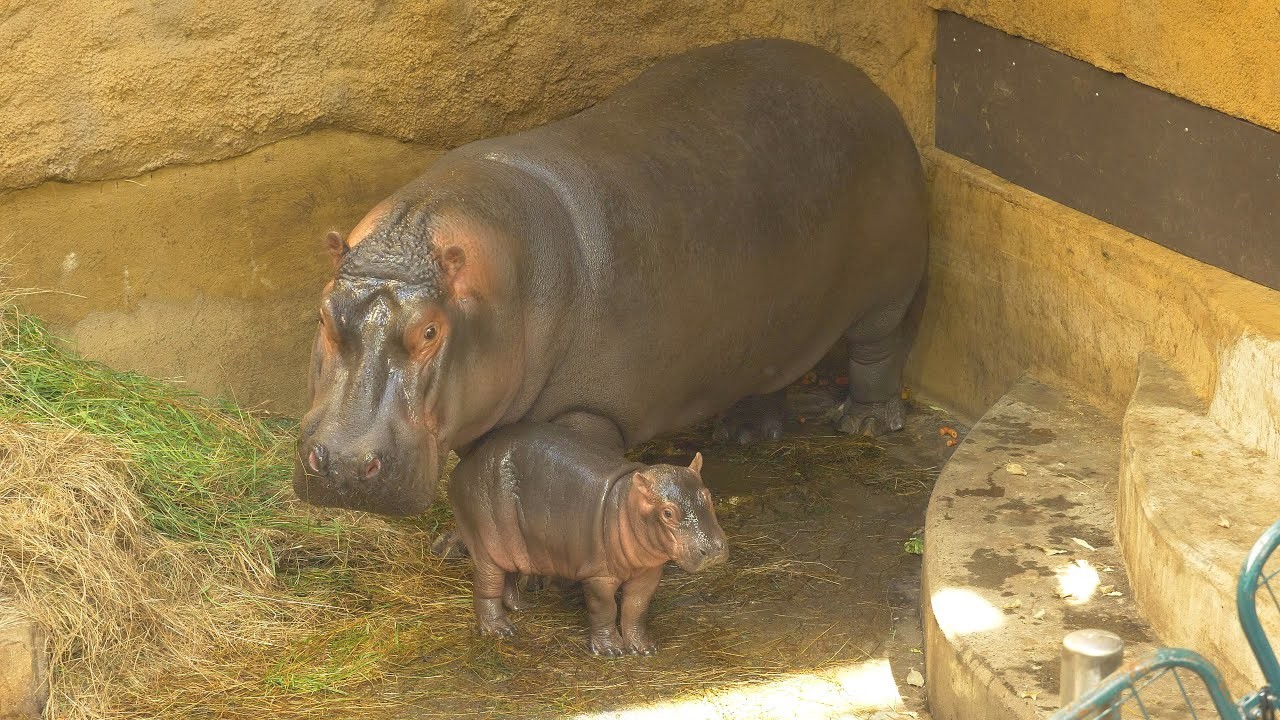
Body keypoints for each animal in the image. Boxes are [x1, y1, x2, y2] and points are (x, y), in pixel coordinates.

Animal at [450, 422, 732, 653]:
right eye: (667, 512)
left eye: (707, 495)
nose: (713, 549)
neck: (625, 503)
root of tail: (462, 467)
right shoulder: (599, 576)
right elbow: (605, 610)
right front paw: (611, 650)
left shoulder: (648, 572)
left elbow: (636, 608)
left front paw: (644, 647)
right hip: (487, 540)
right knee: (487, 584)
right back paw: (500, 630)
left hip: (510, 542)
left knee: (507, 575)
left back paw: (522, 606)